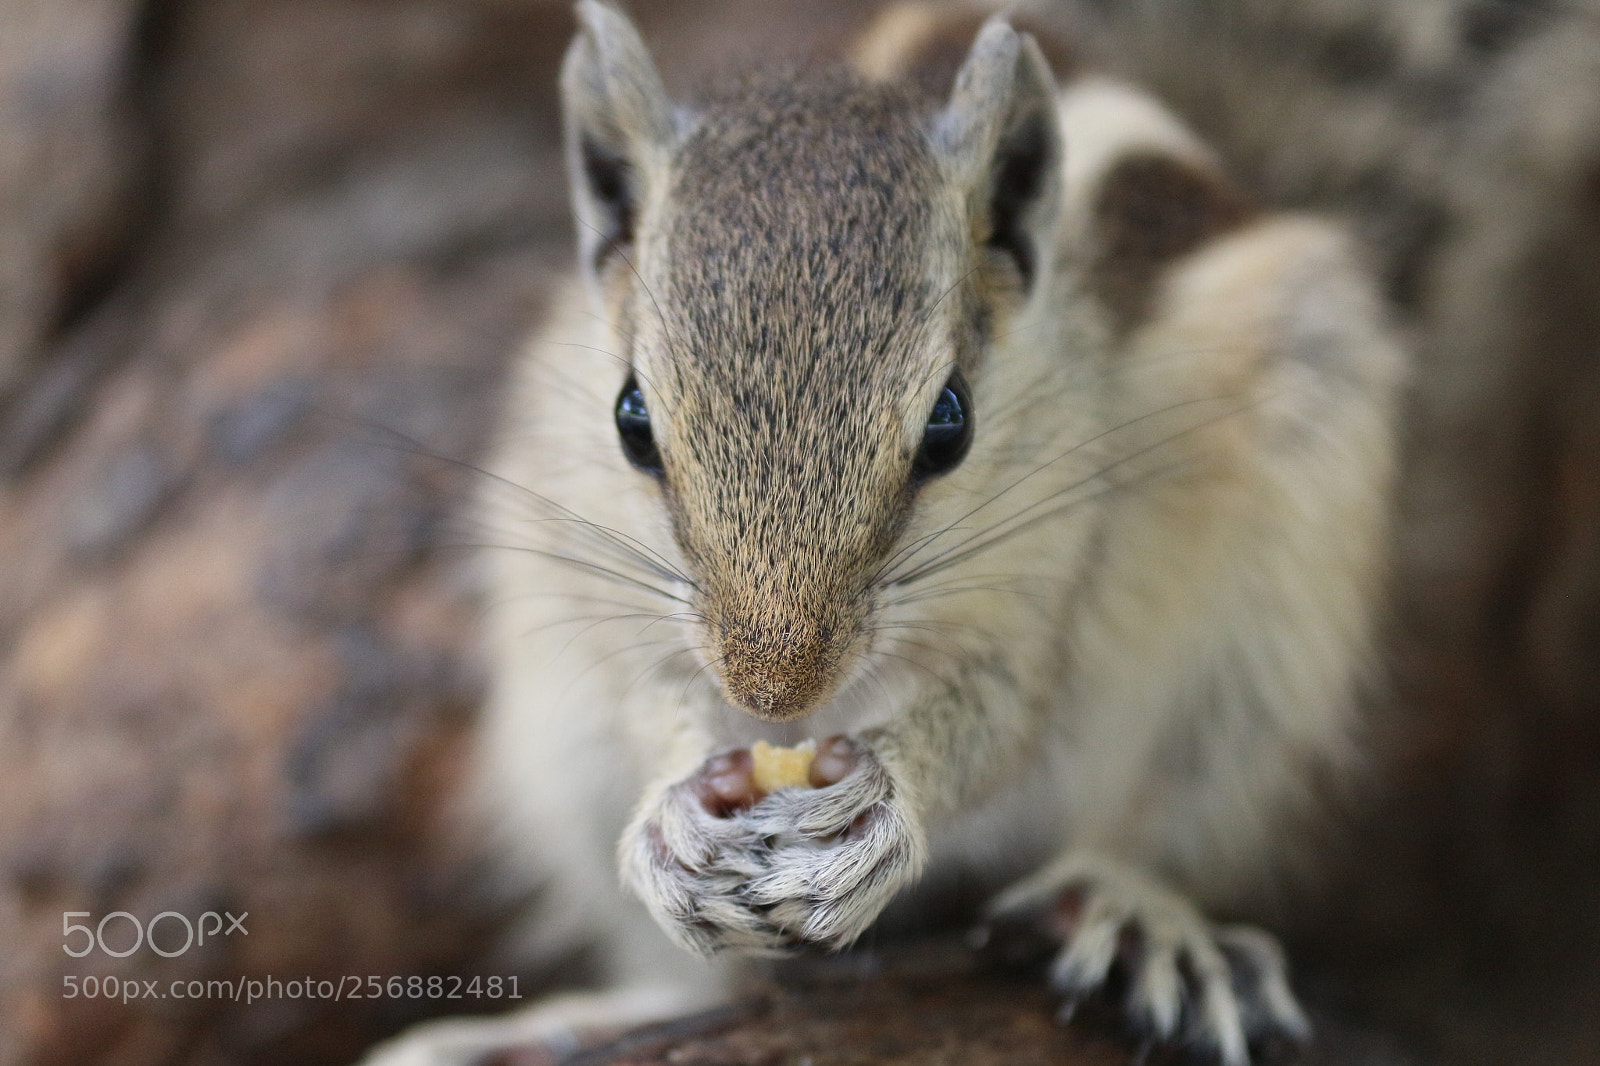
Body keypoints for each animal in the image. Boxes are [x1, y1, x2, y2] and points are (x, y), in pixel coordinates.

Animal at [364, 2, 1405, 1063]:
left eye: (950, 423)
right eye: (630, 418)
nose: (771, 693)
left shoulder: (1047, 573)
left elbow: (1001, 716)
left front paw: (885, 803)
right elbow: (646, 692)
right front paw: (672, 818)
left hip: (1259, 650)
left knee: (1158, 822)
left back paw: (1131, 915)